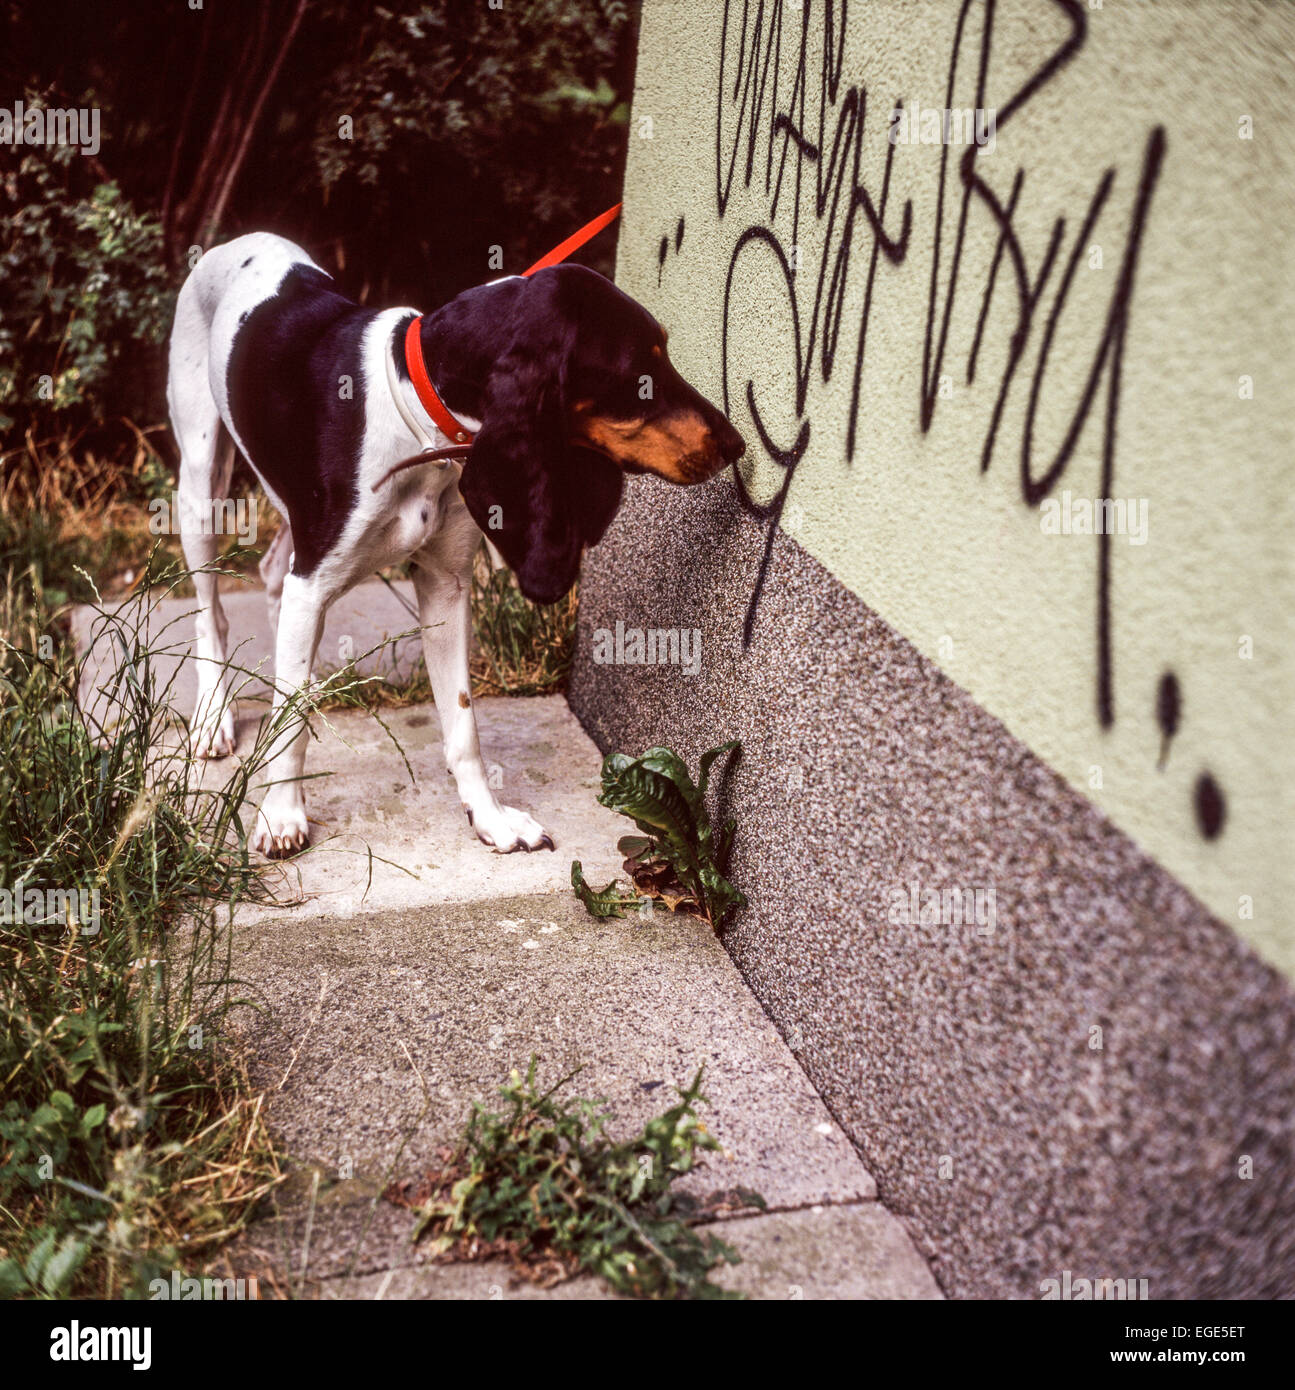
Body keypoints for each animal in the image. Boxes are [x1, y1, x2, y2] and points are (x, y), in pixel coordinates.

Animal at [166, 233, 744, 850]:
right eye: (639, 373)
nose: (735, 443)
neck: (414, 416)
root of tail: (238, 240)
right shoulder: (316, 575)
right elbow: (289, 721)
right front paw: (280, 814)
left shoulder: (443, 586)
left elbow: (463, 721)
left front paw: (489, 816)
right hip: (202, 485)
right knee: (211, 612)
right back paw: (213, 716)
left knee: (275, 572)